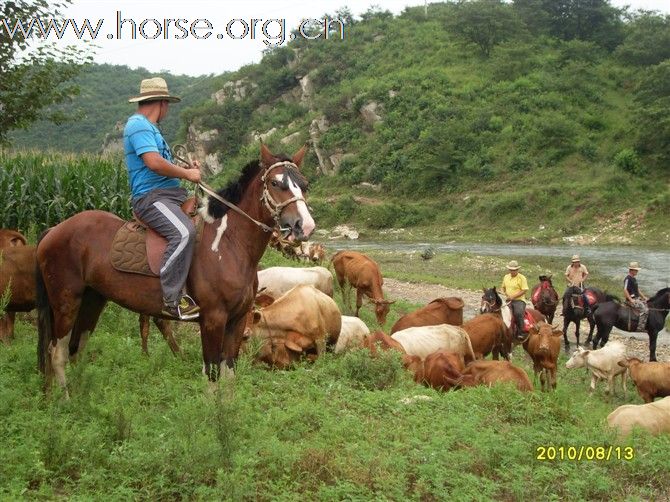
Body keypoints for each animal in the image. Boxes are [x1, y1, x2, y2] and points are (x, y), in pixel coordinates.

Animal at [38, 143, 316, 394]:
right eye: (276, 184)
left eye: (304, 185)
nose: (305, 226)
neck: (229, 244)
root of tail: (54, 230)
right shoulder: (213, 319)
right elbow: (211, 375)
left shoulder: (237, 320)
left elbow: (228, 374)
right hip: (66, 302)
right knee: (57, 351)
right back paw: (64, 400)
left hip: (92, 299)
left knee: (75, 347)